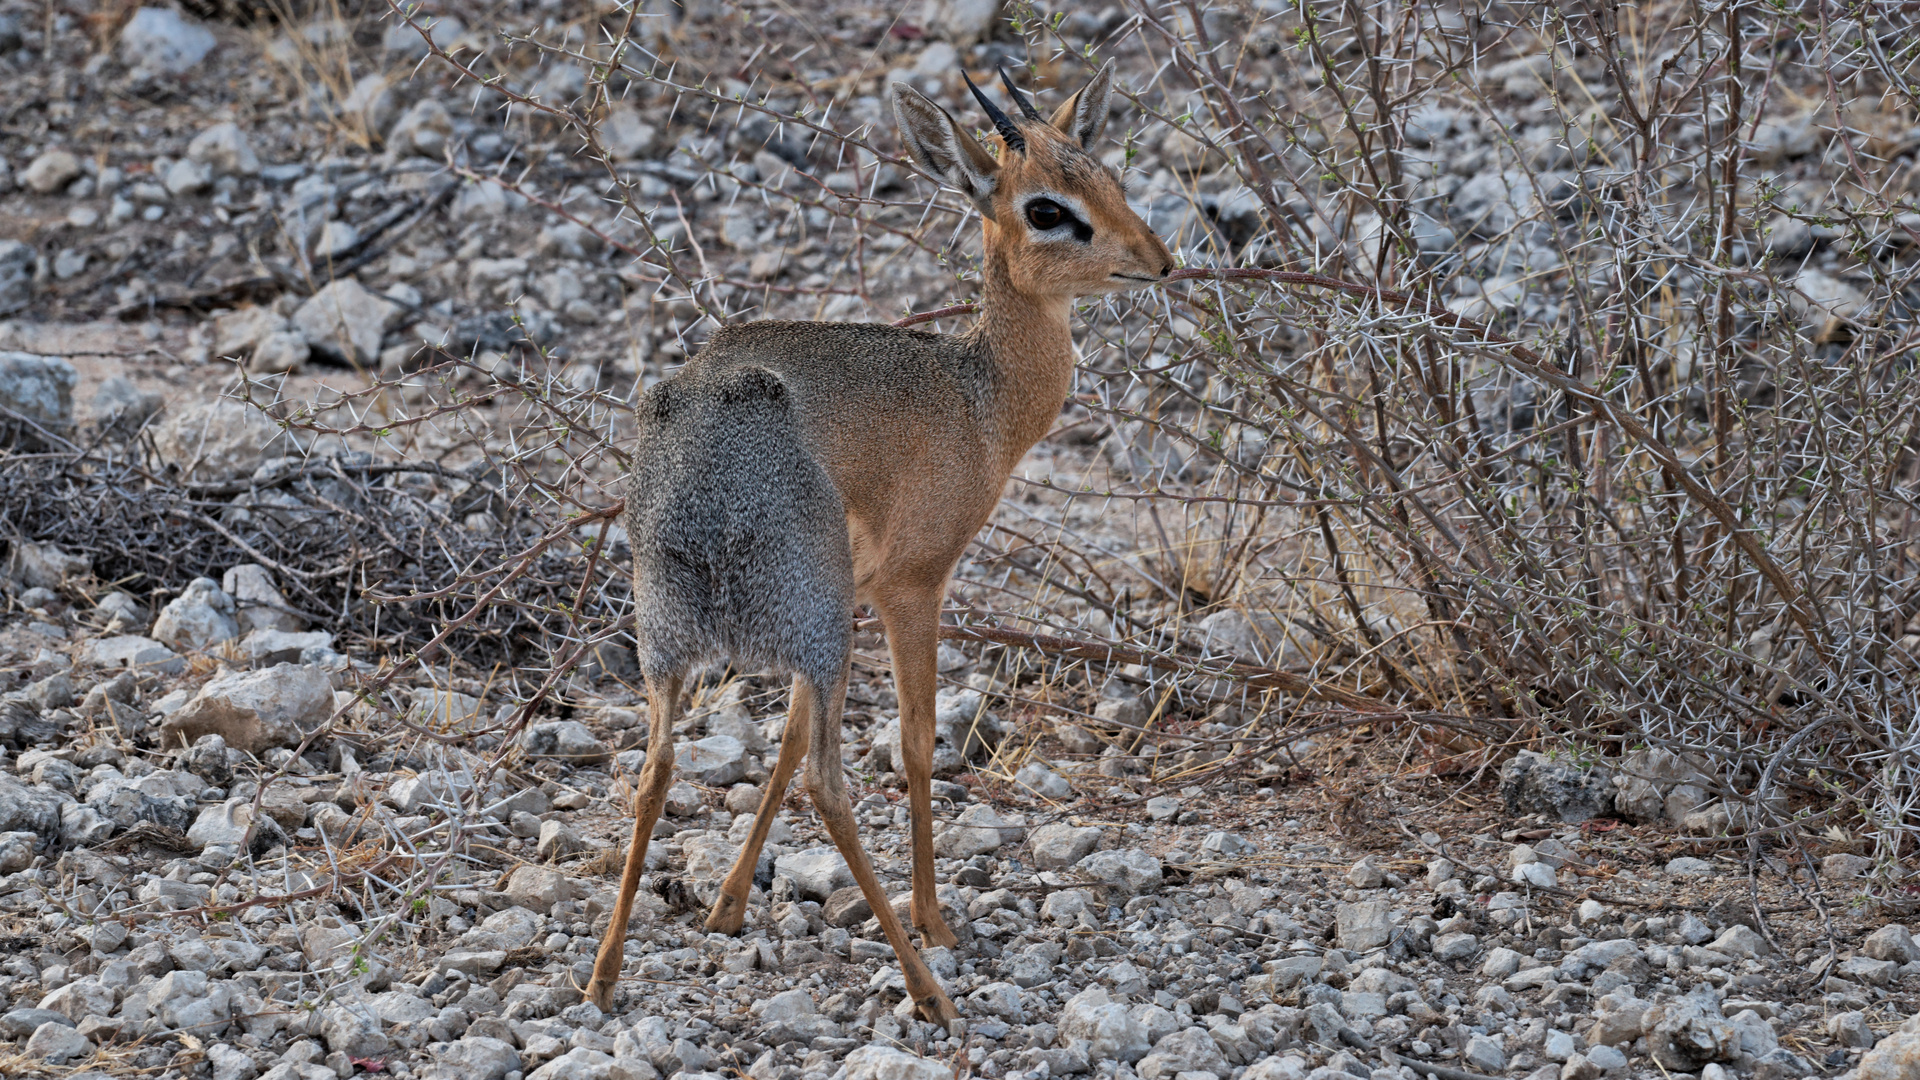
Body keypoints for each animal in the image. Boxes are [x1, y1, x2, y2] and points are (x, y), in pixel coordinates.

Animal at [583, 58, 1175, 1014]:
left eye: (1107, 175)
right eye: (1047, 208)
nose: (1158, 261)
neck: (976, 396)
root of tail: (706, 483)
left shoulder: (844, 613)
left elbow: (786, 740)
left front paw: (727, 904)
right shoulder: (910, 589)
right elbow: (917, 744)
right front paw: (936, 920)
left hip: (682, 643)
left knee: (655, 769)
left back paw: (602, 976)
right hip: (807, 631)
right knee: (829, 781)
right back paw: (927, 986)